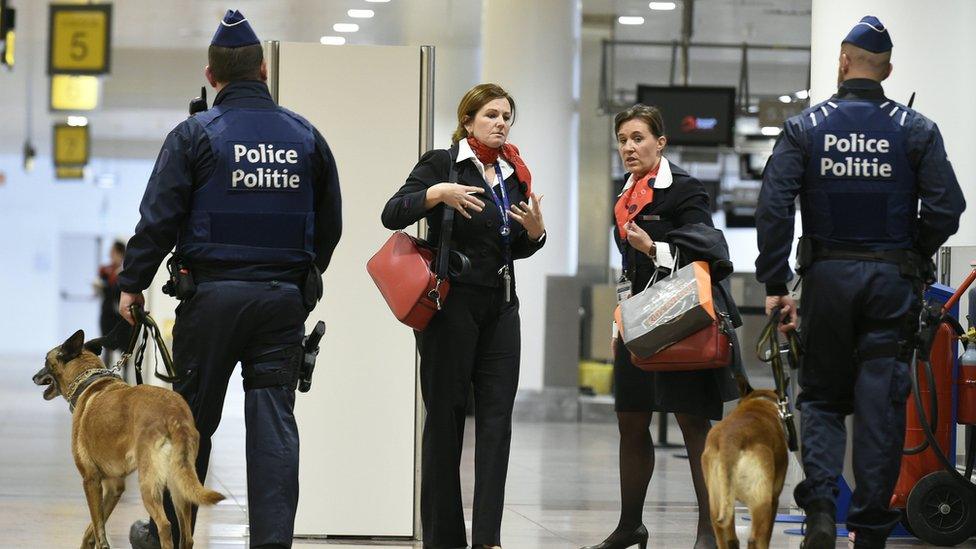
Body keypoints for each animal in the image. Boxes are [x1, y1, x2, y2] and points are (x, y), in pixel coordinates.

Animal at [31, 330, 224, 548]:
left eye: (46, 361)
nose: (34, 377)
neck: (88, 379)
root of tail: (175, 414)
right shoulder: (114, 487)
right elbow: (92, 528)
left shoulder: (90, 480)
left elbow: (98, 528)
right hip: (178, 485)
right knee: (187, 536)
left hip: (148, 485)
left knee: (165, 525)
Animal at [696, 386, 788, 548]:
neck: (759, 401)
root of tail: (730, 439)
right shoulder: (774, 499)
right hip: (762, 503)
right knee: (755, 539)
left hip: (717, 503)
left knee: (727, 538)